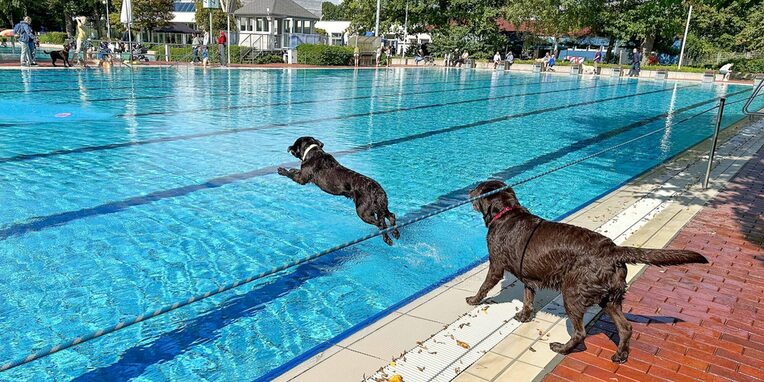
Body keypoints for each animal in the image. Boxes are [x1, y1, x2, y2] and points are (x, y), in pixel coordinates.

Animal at [466, 181, 712, 362]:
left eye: (477, 188)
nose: (468, 191)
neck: (505, 212)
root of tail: (613, 250)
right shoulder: (529, 277)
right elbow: (528, 297)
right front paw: (524, 316)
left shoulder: (496, 265)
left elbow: (485, 286)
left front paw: (473, 300)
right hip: (609, 299)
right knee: (626, 328)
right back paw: (620, 355)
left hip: (572, 292)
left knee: (580, 332)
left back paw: (562, 348)